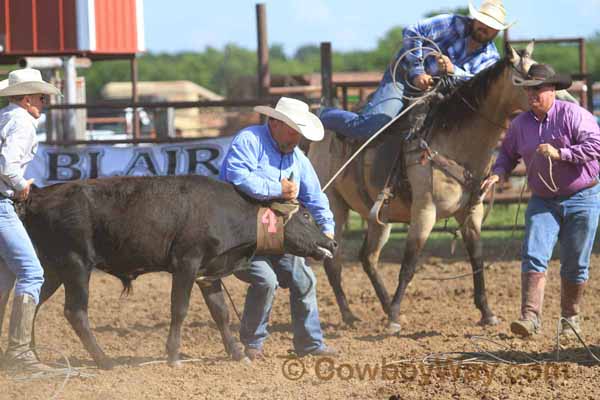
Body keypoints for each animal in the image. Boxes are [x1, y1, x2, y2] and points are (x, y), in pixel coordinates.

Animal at [19, 175, 338, 368]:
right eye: (306, 215)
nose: (331, 242)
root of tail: (39, 196)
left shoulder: (208, 274)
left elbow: (221, 313)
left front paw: (236, 353)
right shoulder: (186, 263)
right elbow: (179, 309)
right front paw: (173, 355)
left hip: (51, 268)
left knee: (31, 301)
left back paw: (29, 355)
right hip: (75, 264)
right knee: (75, 312)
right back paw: (104, 360)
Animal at [310, 42, 536, 332]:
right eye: (525, 76)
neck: (454, 141)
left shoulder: (471, 212)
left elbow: (477, 259)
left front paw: (487, 313)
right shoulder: (424, 212)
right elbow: (409, 264)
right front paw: (394, 318)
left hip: (379, 217)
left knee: (368, 257)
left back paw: (383, 306)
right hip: (333, 206)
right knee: (334, 261)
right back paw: (351, 316)